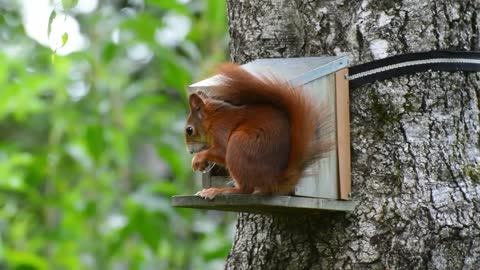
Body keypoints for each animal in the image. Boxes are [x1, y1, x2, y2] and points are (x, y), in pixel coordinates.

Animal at [185, 62, 334, 198]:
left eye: (189, 130)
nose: (190, 151)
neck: (213, 119)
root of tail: (274, 181)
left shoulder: (221, 129)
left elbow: (221, 150)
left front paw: (198, 159)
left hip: (238, 146)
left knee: (246, 189)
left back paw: (219, 191)